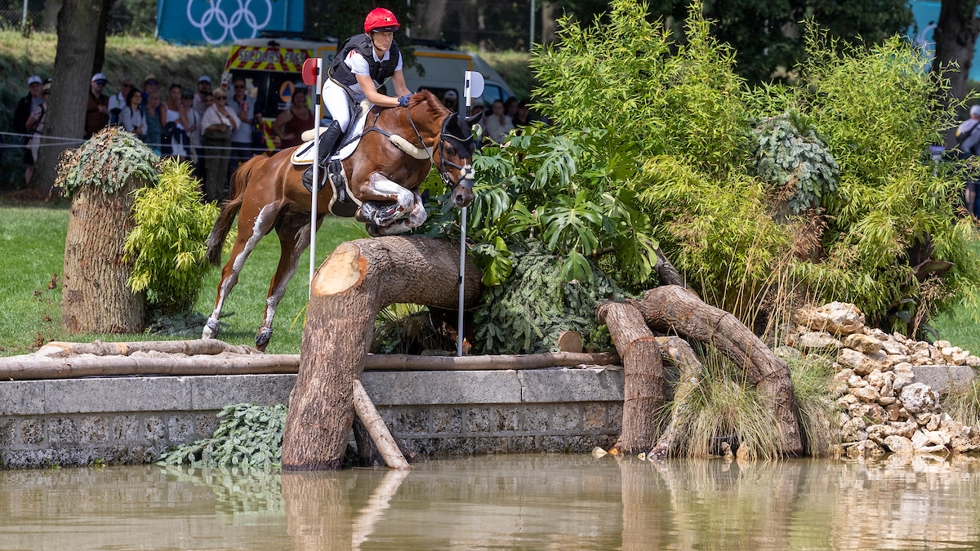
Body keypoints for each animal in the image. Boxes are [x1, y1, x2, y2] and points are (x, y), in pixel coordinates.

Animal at [203, 90, 478, 350]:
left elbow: (416, 210)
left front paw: (380, 222)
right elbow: (405, 199)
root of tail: (265, 163)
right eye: (451, 149)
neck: (401, 134)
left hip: (298, 234)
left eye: (473, 150)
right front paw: (374, 215)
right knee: (230, 274)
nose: (464, 197)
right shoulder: (363, 183)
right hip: (255, 223)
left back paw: (262, 338)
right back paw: (210, 329)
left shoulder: (413, 188)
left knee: (278, 283)